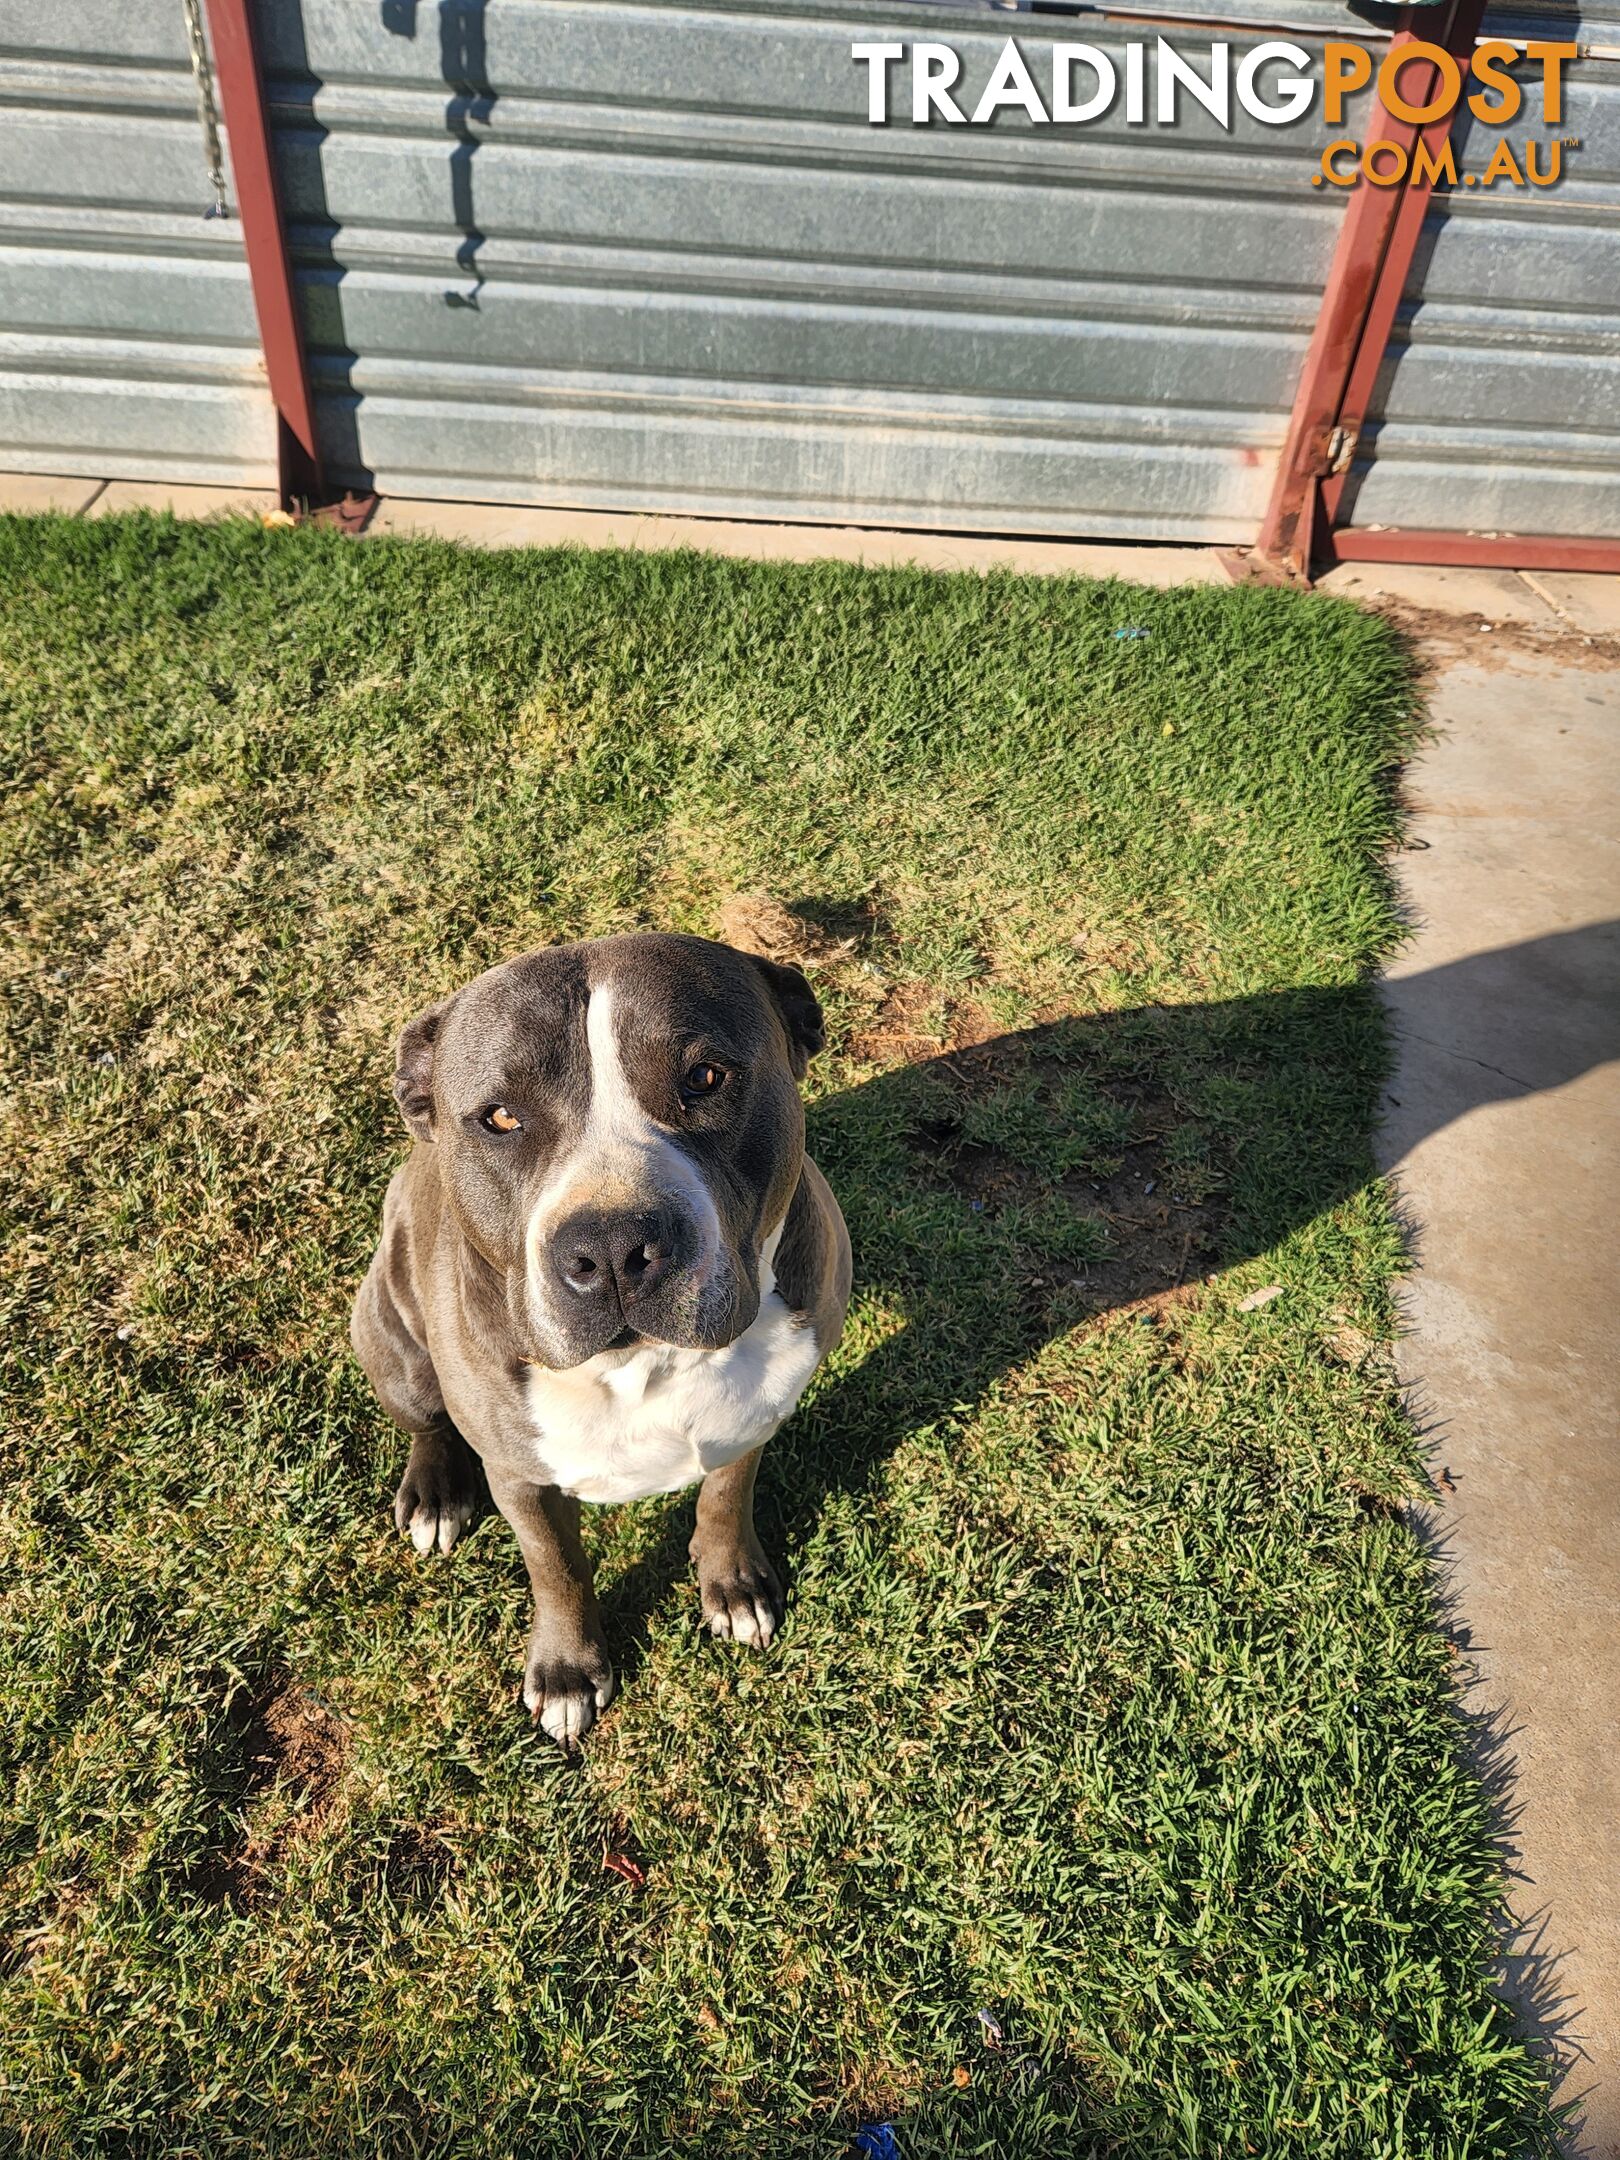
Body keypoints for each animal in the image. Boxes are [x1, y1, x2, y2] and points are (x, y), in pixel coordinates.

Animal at [349, 937, 855, 1745]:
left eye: (705, 1077)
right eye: (500, 1117)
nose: (613, 1247)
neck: (644, 1362)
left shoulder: (757, 1415)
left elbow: (725, 1497)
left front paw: (732, 1584)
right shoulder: (519, 1476)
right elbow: (556, 1566)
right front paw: (566, 1672)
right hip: (385, 1327)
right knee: (427, 1420)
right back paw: (434, 1493)